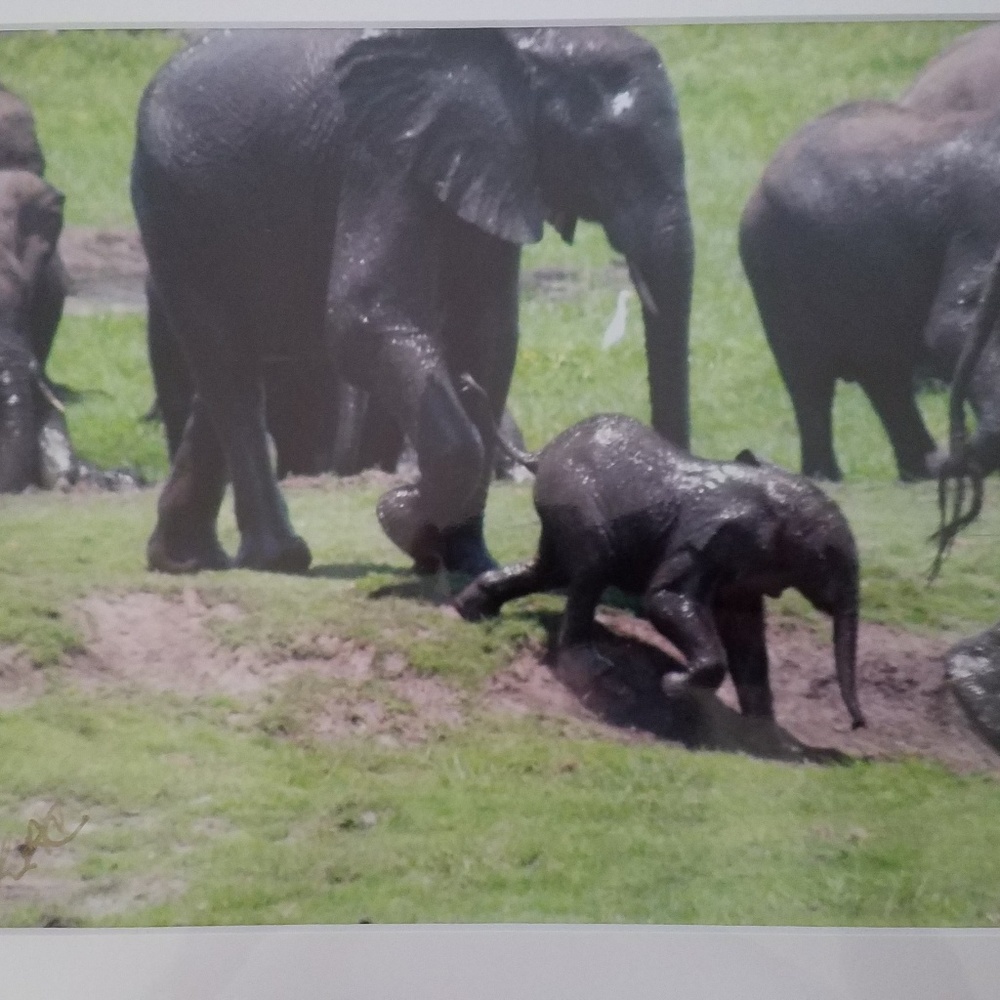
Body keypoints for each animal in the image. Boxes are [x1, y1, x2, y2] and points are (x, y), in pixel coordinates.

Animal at [131, 27, 693, 576]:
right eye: (611, 157)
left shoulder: (488, 162)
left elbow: (486, 335)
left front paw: (470, 563)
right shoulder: (383, 149)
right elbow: (362, 318)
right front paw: (400, 516)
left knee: (251, 360)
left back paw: (184, 559)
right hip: (174, 205)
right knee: (230, 369)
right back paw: (277, 559)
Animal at [454, 413, 865, 729]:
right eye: (825, 556)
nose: (857, 725)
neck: (768, 497)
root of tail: (542, 453)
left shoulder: (742, 563)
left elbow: (744, 632)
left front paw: (762, 732)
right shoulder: (702, 542)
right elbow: (665, 599)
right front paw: (674, 685)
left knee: (549, 570)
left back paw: (471, 610)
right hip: (576, 498)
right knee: (590, 569)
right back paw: (592, 670)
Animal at [739, 99, 1000, 482]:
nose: (953, 454)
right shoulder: (982, 218)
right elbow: (953, 325)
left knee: (884, 375)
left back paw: (919, 469)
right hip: (775, 265)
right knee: (810, 379)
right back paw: (829, 477)